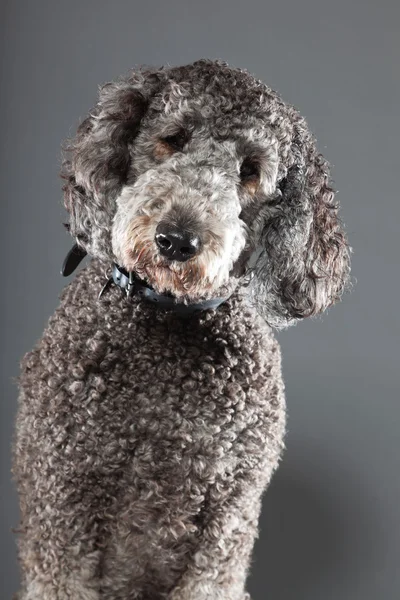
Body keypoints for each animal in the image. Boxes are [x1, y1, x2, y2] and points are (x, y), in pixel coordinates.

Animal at [12, 57, 350, 600]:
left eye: (251, 171)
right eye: (172, 138)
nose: (176, 239)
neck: (170, 312)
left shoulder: (227, 523)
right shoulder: (62, 503)